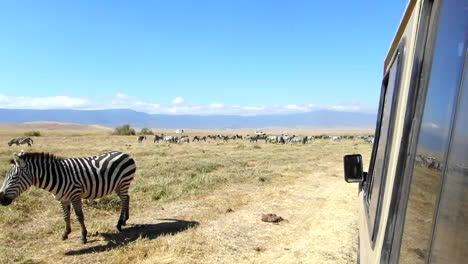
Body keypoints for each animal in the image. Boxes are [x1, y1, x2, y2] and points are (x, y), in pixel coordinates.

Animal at [0, 151, 135, 243]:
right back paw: (125, 220)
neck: (57, 176)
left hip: (124, 182)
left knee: (124, 200)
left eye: (14, 178)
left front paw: (83, 236)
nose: (1, 199)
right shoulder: (62, 199)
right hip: (118, 185)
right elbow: (65, 217)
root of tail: (125, 154)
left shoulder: (75, 196)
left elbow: (79, 216)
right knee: (127, 198)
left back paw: (119, 224)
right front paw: (65, 233)